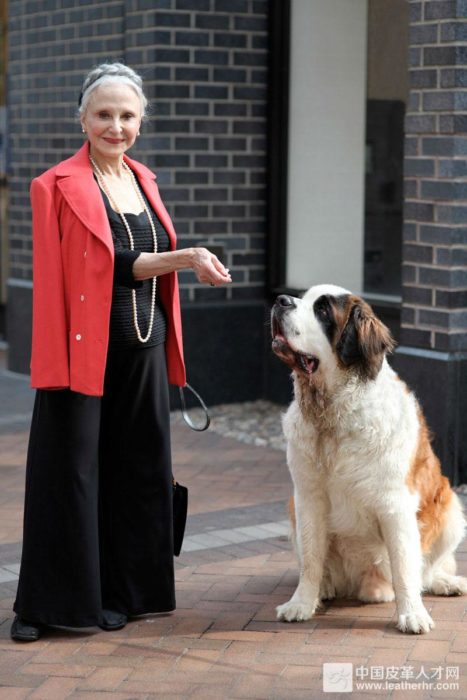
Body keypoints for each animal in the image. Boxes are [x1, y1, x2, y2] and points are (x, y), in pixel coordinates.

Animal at [272, 284, 466, 636]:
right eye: (301, 298)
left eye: (322, 310)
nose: (280, 300)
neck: (332, 414)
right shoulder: (306, 498)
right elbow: (311, 558)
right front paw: (301, 603)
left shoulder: (396, 504)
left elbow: (405, 565)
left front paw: (412, 614)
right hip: (293, 510)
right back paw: (325, 588)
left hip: (451, 506)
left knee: (425, 571)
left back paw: (445, 582)